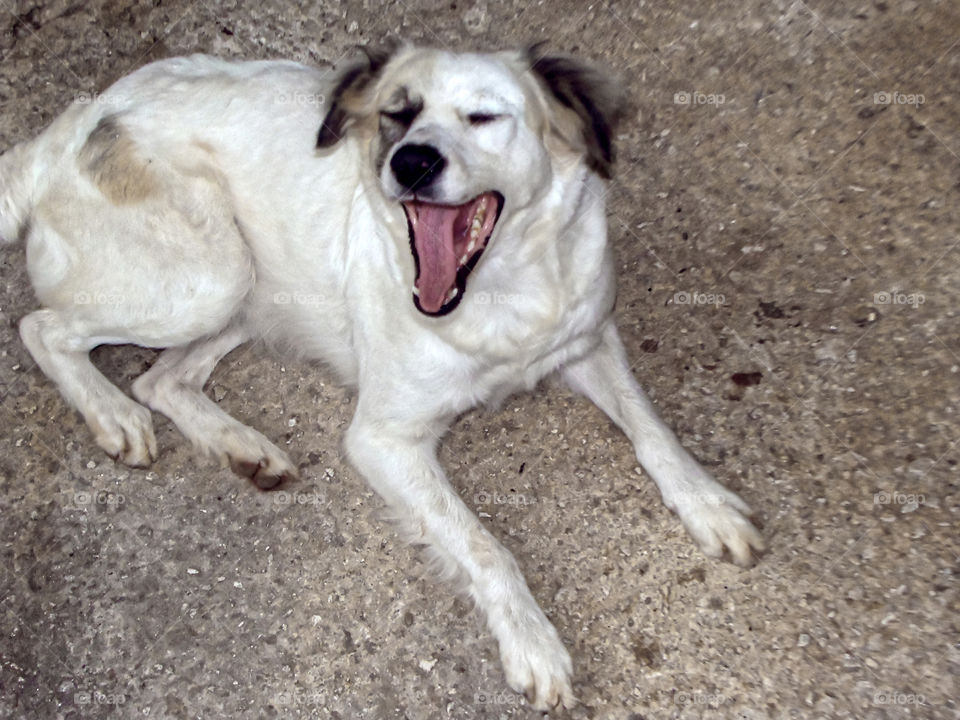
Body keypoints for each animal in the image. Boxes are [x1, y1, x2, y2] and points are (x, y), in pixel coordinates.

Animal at [0, 45, 764, 708]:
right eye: (398, 113)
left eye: (484, 116)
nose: (412, 161)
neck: (502, 292)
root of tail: (72, 127)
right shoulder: (382, 439)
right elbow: (486, 547)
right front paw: (533, 642)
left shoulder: (588, 338)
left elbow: (651, 427)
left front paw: (709, 503)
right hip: (209, 277)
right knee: (45, 330)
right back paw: (111, 414)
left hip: (254, 291)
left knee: (160, 380)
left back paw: (244, 449)